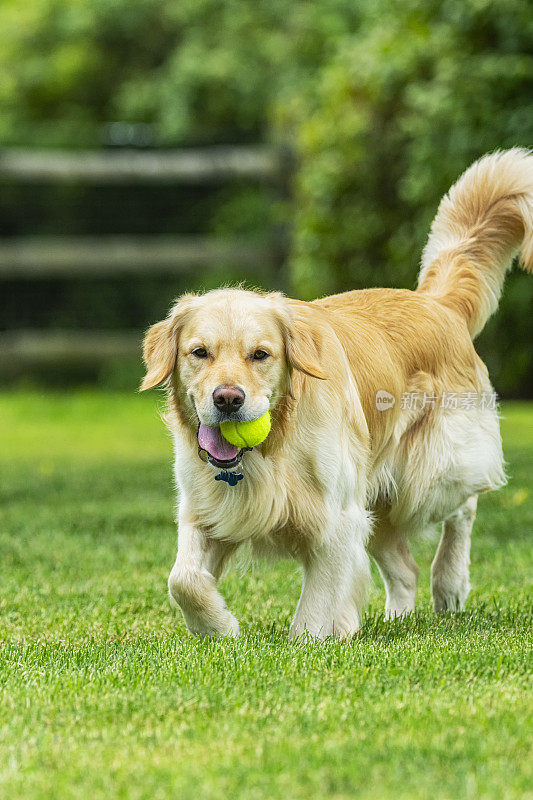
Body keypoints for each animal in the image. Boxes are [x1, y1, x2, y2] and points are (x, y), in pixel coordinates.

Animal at [140, 148, 532, 636]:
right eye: (199, 352)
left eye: (261, 354)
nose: (227, 399)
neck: (271, 448)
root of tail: (435, 303)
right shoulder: (205, 509)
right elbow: (183, 580)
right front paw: (219, 627)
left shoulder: (336, 519)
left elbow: (316, 607)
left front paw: (309, 641)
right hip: (379, 498)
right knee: (405, 568)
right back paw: (396, 615)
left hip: (427, 472)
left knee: (464, 507)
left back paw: (450, 583)